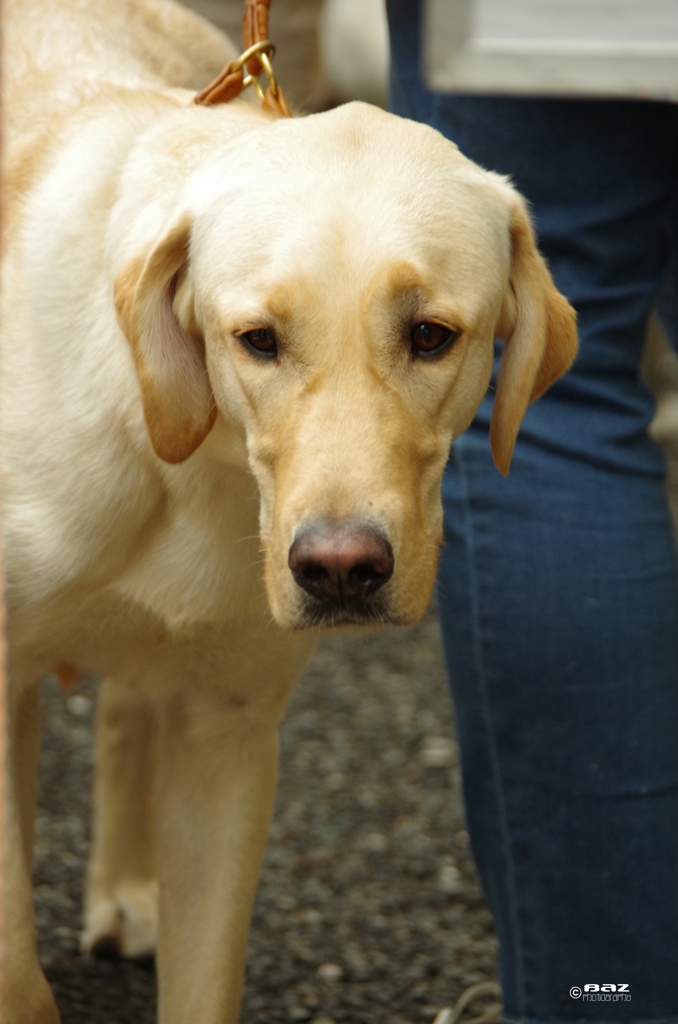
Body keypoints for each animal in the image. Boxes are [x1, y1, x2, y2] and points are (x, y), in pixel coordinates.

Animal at [2, 0, 577, 1019]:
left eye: (431, 336)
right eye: (258, 340)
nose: (341, 570)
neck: (187, 454)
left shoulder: (227, 736)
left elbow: (204, 983)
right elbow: (13, 969)